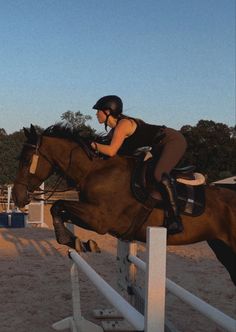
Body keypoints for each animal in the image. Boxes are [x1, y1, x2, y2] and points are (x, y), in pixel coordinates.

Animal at [12, 124, 236, 286]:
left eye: (26, 160)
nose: (17, 196)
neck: (94, 170)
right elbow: (59, 209)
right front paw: (78, 242)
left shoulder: (100, 220)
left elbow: (57, 205)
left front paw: (77, 241)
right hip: (222, 248)